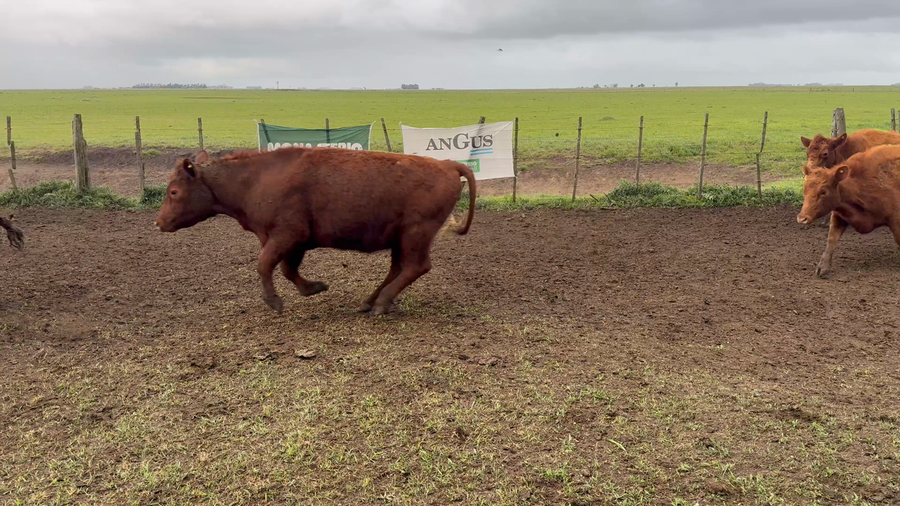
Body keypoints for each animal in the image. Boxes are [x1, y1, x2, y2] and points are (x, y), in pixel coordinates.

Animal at [155, 147, 476, 315]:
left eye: (174, 192)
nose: (159, 222)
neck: (255, 179)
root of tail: (448, 164)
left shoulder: (287, 235)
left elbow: (264, 264)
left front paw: (274, 301)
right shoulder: (292, 243)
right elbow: (287, 270)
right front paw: (313, 288)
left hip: (415, 234)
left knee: (416, 267)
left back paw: (381, 303)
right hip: (400, 238)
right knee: (398, 268)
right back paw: (370, 301)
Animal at [797, 144, 900, 278]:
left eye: (823, 192)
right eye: (805, 189)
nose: (802, 218)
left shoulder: (896, 221)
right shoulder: (839, 216)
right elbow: (831, 239)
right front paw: (823, 267)